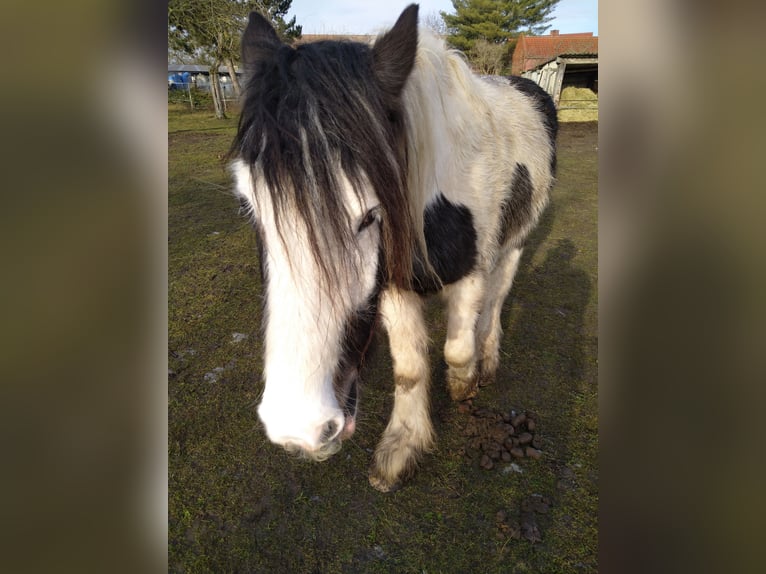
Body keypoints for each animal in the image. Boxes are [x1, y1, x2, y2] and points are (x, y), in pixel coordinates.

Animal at [229, 4, 557, 492]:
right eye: (250, 207)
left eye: (370, 215)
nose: (299, 427)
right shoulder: (393, 286)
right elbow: (409, 368)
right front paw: (402, 445)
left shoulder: (471, 273)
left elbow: (456, 350)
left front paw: (463, 385)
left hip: (514, 243)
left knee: (497, 299)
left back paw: (488, 356)